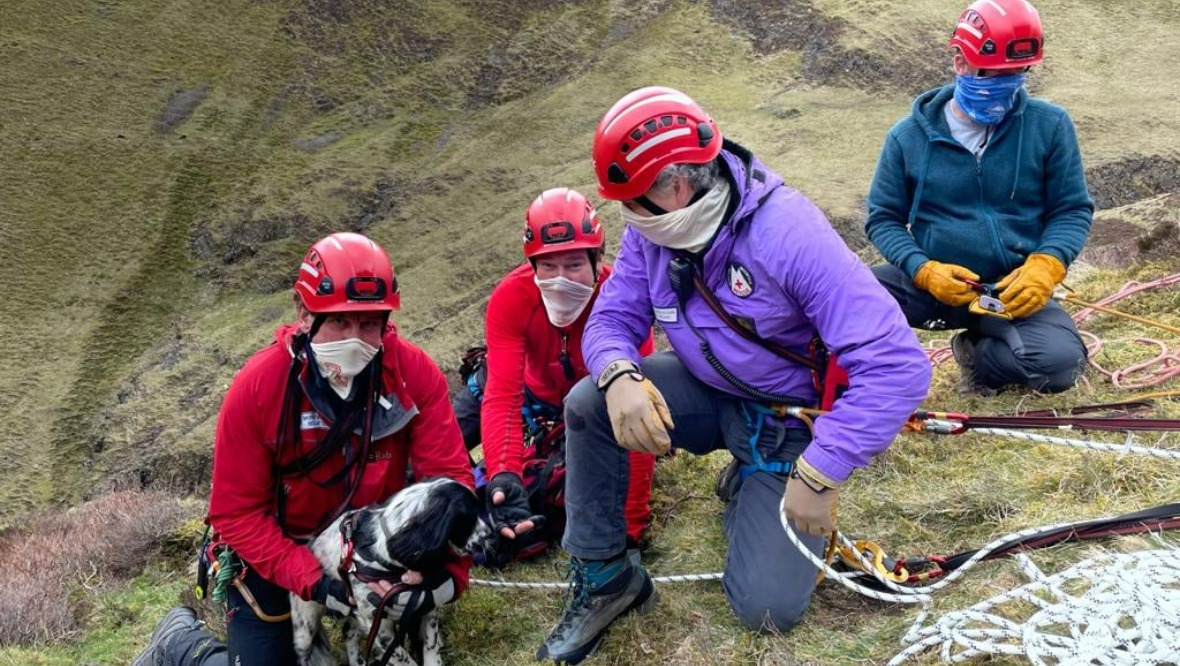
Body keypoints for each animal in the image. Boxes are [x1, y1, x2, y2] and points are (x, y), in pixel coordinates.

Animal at [292, 477, 490, 661]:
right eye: (471, 515)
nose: (490, 535)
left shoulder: (426, 605)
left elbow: (430, 647)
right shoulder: (378, 626)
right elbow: (403, 658)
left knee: (349, 633)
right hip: (305, 628)